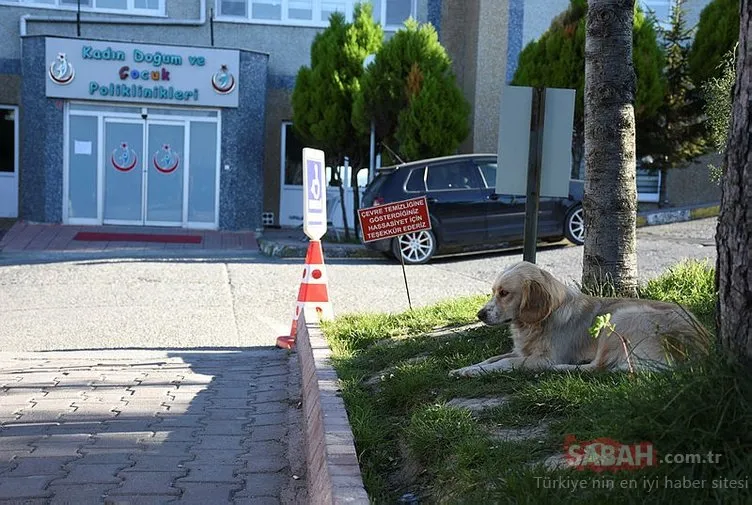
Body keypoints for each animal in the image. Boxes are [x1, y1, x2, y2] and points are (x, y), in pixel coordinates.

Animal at [450, 262, 708, 376]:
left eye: (504, 293)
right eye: (493, 291)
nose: (480, 314)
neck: (537, 322)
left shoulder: (543, 358)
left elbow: (504, 364)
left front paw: (470, 372)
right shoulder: (521, 351)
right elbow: (493, 358)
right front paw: (465, 368)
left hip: (620, 316)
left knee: (597, 367)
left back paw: (562, 369)